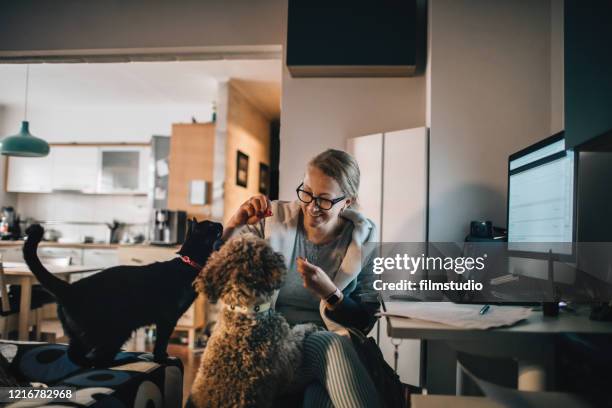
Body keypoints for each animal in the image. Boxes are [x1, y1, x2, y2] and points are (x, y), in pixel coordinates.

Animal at [22, 220, 221, 366]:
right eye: (211, 225)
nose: (220, 223)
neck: (187, 264)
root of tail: (70, 287)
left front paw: (163, 357)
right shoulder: (167, 319)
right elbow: (161, 342)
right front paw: (162, 360)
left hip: (86, 335)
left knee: (76, 354)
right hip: (116, 331)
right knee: (95, 358)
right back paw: (120, 361)